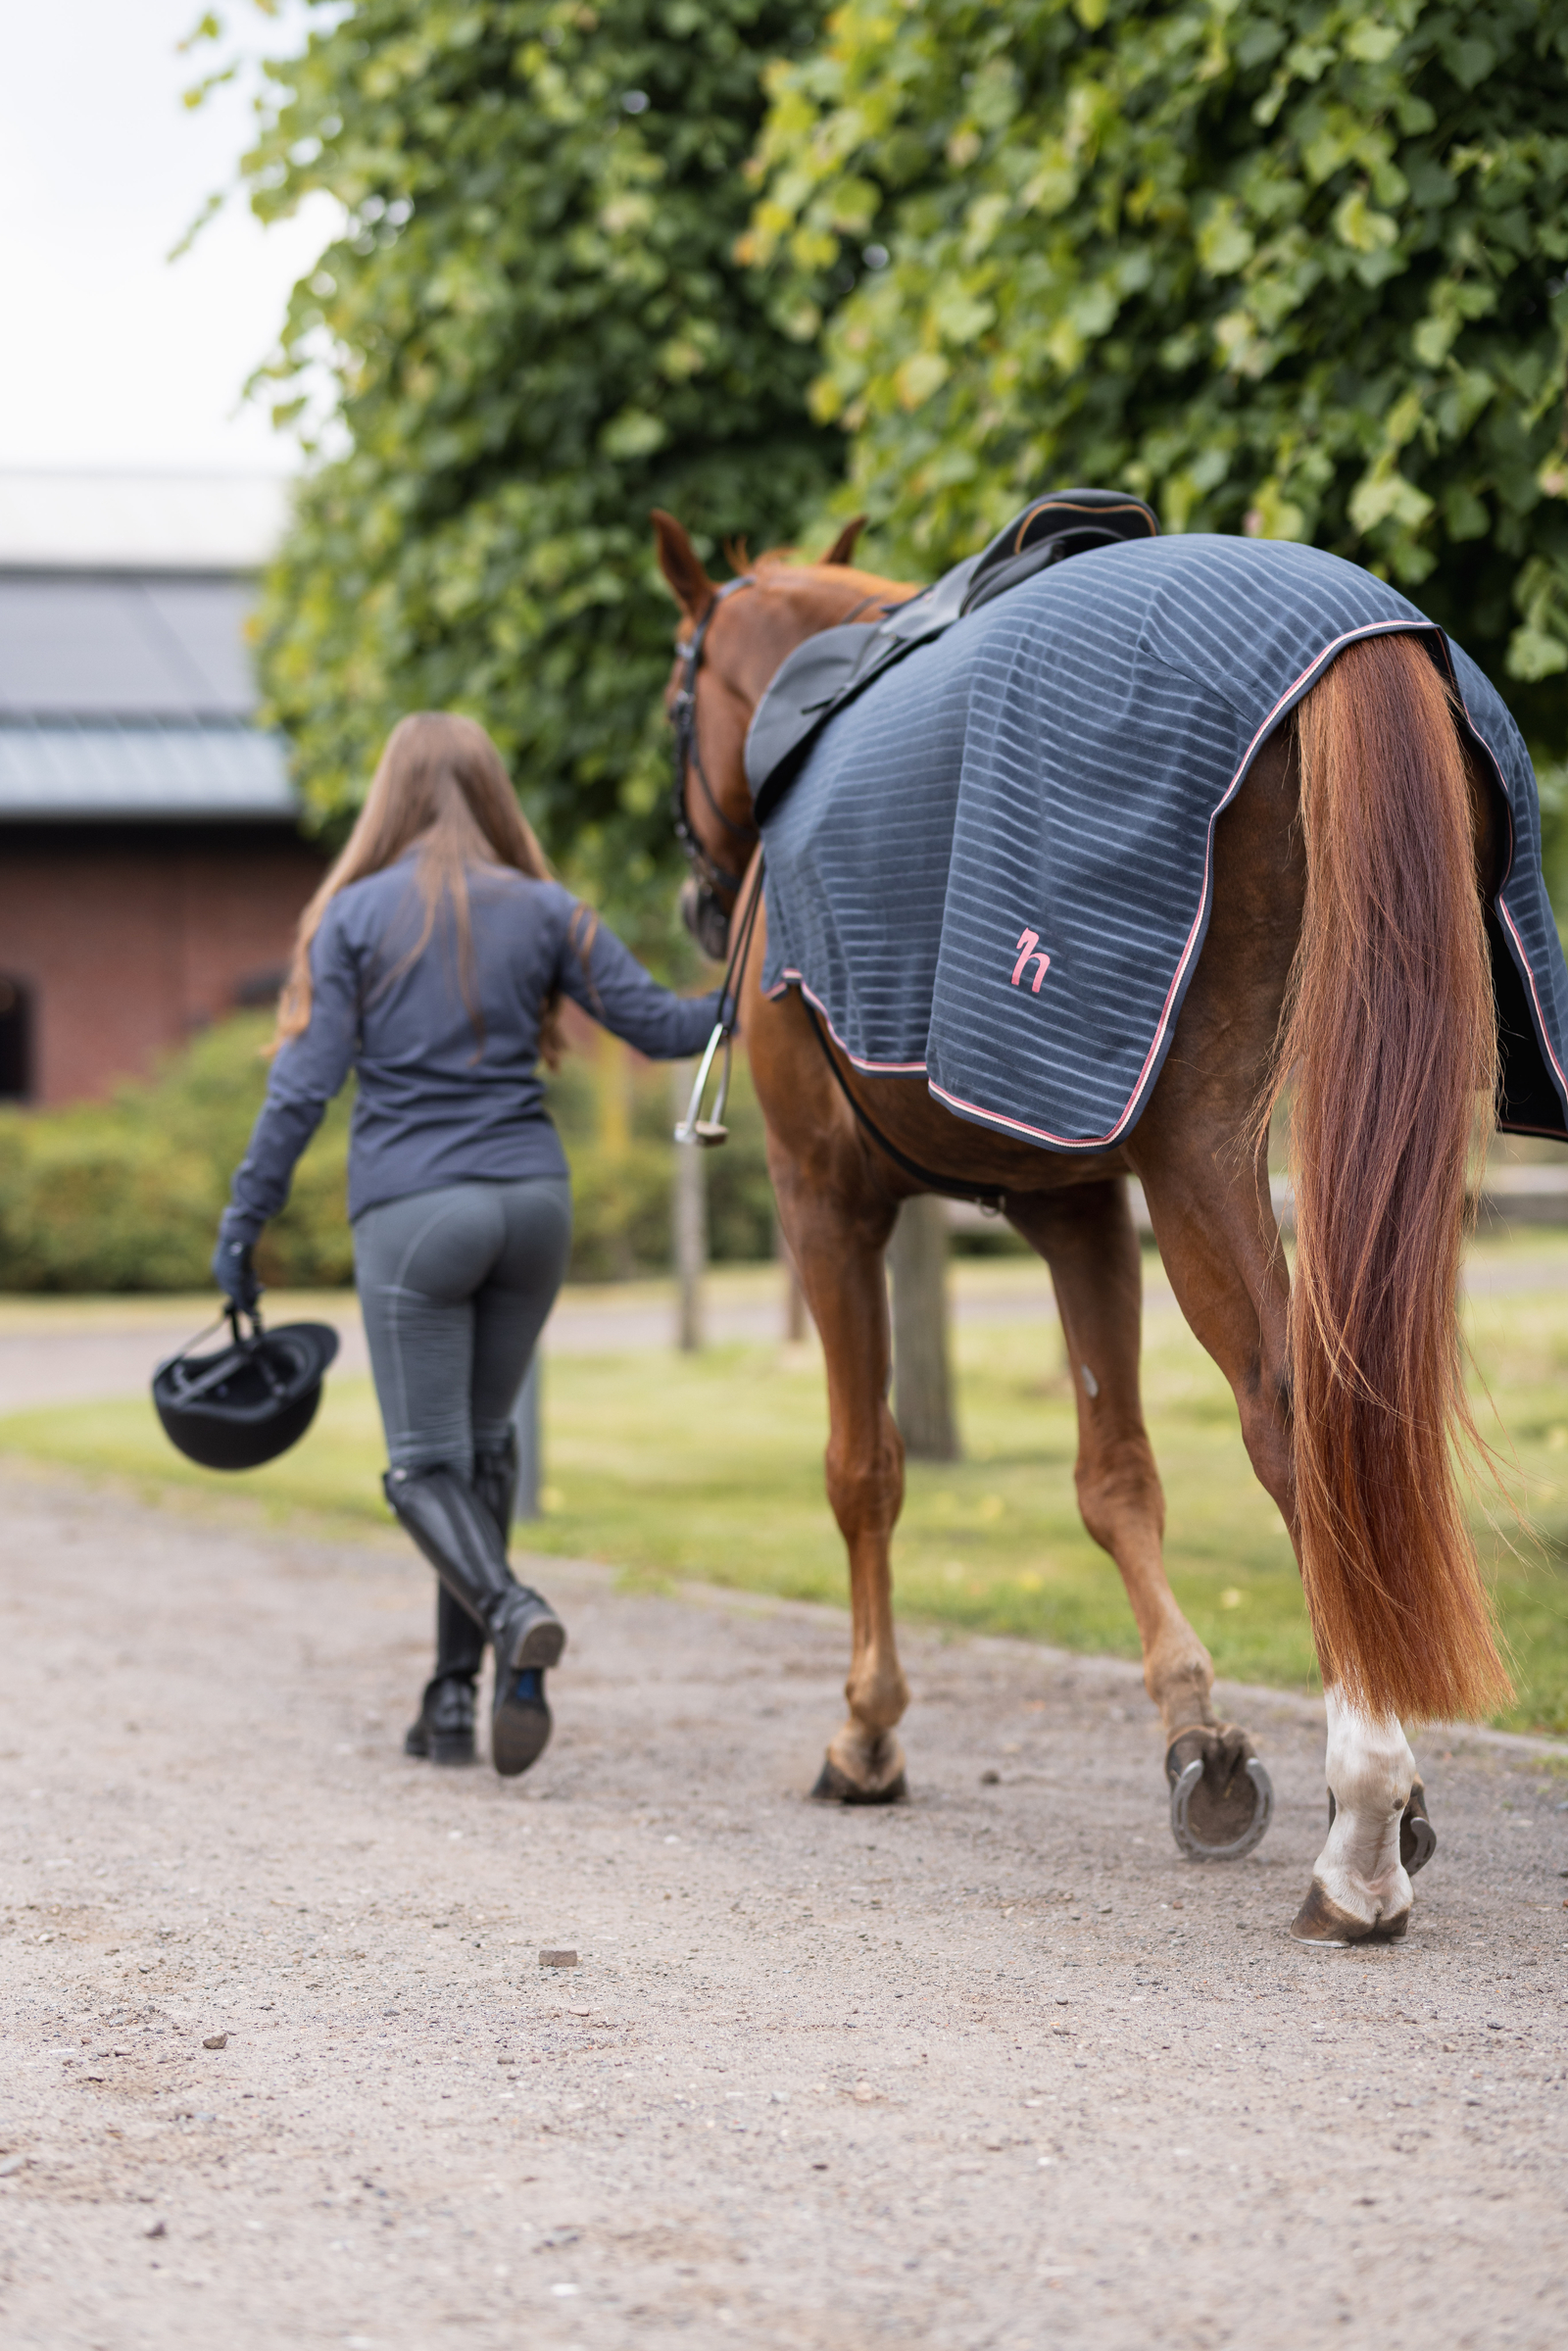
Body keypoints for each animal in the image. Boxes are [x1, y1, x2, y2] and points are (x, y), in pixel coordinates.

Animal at [651, 507, 1518, 1944]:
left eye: (676, 694)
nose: (698, 901)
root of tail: (1360, 640)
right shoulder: (1074, 1202)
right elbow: (1117, 1478)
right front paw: (1197, 1734)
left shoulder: (824, 1200)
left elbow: (861, 1467)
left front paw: (867, 1732)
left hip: (1203, 1148)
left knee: (1293, 1409)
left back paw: (1364, 1822)